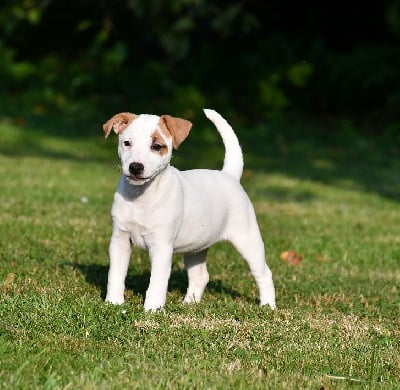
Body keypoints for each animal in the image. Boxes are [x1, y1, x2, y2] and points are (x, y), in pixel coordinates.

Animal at [102, 108, 276, 312]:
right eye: (127, 143)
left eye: (157, 146)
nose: (135, 167)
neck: (141, 197)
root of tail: (229, 176)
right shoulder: (119, 241)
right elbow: (115, 275)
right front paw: (113, 303)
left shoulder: (161, 247)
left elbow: (156, 282)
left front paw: (152, 310)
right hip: (196, 246)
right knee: (200, 276)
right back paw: (190, 303)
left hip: (248, 240)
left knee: (264, 273)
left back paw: (268, 306)